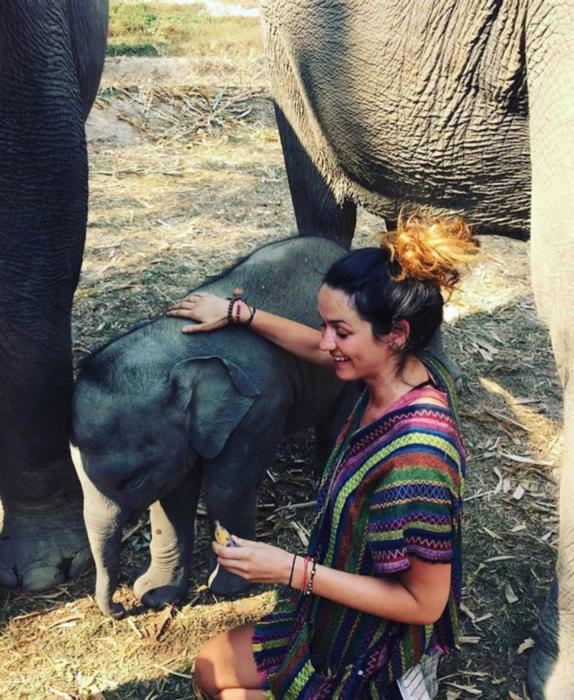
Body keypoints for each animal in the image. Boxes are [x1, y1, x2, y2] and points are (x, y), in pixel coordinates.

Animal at [71, 238, 360, 616]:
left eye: (132, 480)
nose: (121, 609)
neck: (176, 349)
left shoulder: (258, 408)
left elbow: (227, 487)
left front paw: (226, 587)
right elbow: (172, 496)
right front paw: (156, 595)